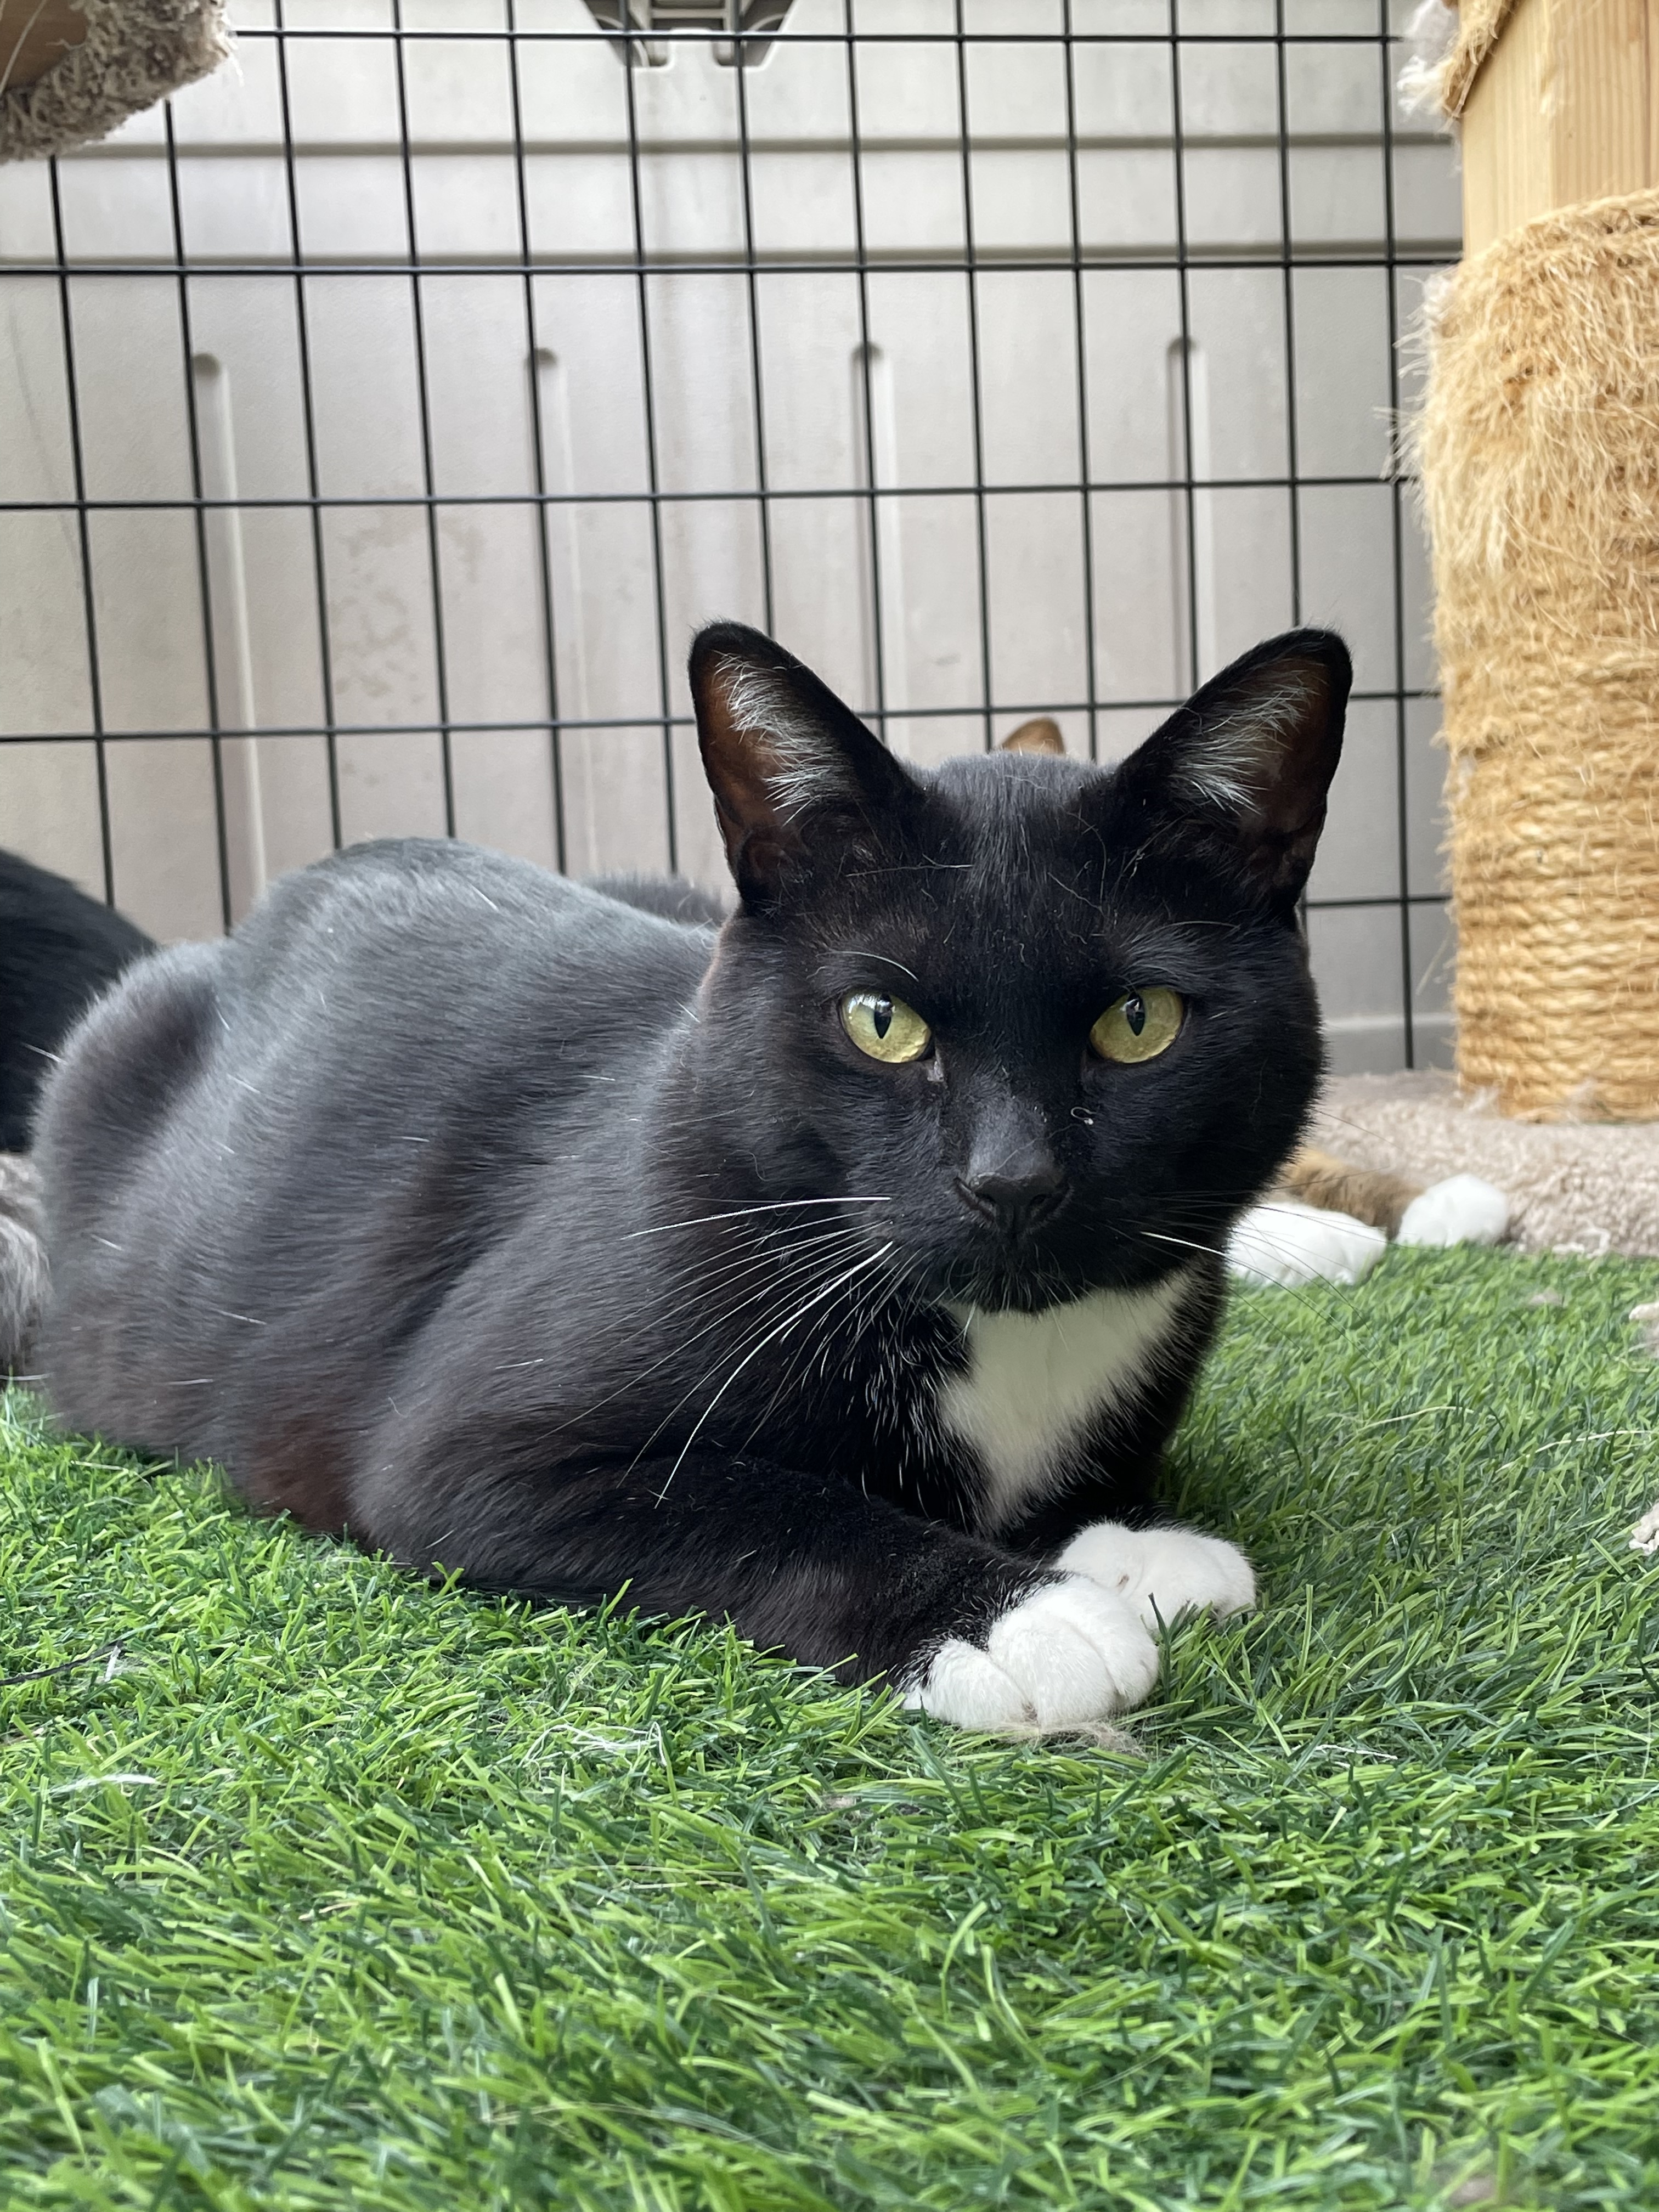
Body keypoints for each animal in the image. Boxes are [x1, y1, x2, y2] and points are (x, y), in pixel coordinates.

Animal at [36, 624, 1353, 1725]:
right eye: (881, 1022)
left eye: (1140, 1022)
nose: (1012, 1182)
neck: (1005, 1340)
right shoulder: (466, 1457)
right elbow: (775, 1507)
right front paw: (1019, 1621)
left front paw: (1129, 1540)